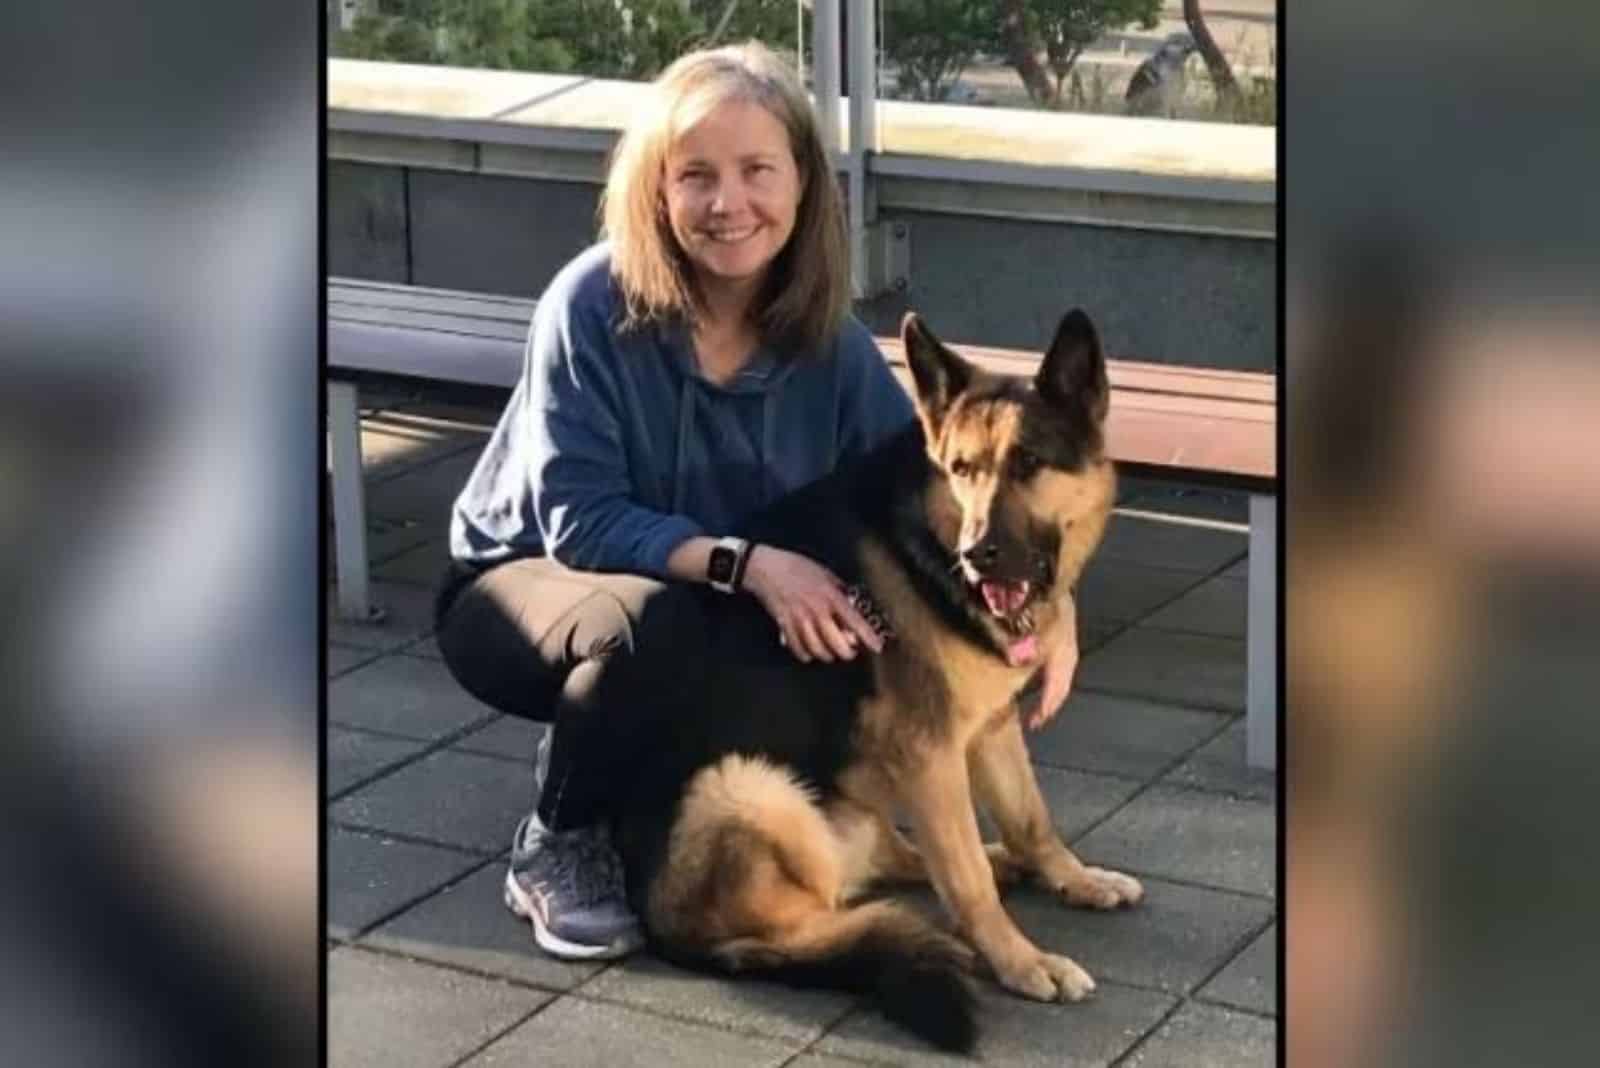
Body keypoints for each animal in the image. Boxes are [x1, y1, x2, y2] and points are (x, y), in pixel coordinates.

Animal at [601, 306, 1139, 1048]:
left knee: (900, 860)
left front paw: (1073, 877)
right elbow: (967, 882)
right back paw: (915, 937)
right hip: (747, 787)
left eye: (1029, 462)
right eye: (962, 468)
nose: (977, 555)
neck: (927, 537)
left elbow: (1032, 819)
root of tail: (655, 923)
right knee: (821, 926)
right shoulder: (930, 753)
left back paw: (1004, 864)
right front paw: (1021, 961)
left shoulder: (990, 729)